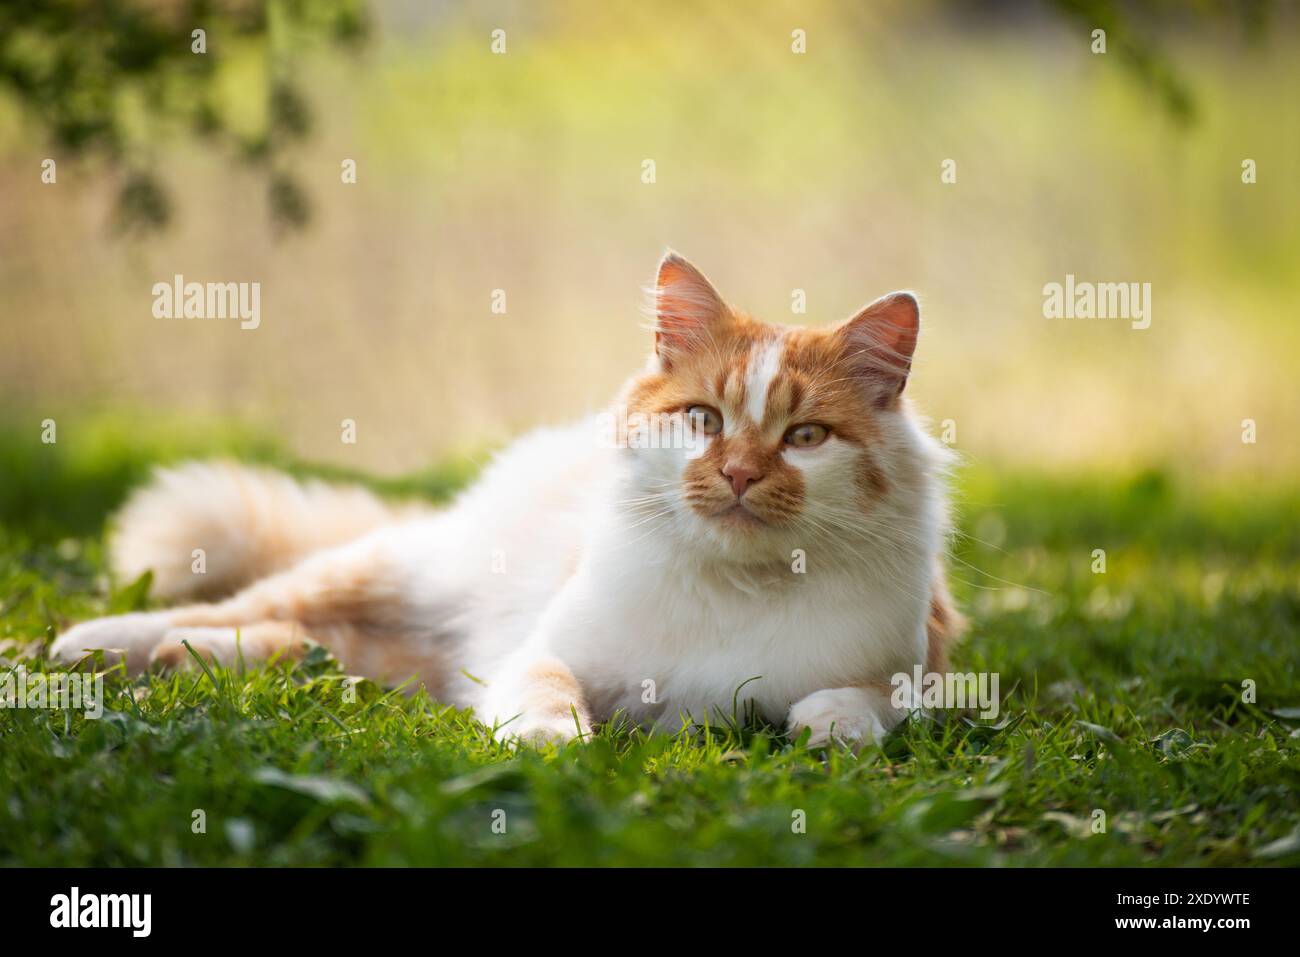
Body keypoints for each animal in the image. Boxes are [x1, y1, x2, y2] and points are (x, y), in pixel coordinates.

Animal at [50, 252, 961, 748]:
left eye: (805, 437)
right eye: (704, 419)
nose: (737, 475)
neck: (737, 590)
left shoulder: (927, 668)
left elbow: (876, 703)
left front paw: (832, 725)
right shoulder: (542, 650)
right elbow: (546, 692)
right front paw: (551, 742)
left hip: (392, 655)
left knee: (295, 643)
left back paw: (188, 661)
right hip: (394, 571)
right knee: (238, 606)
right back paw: (86, 646)